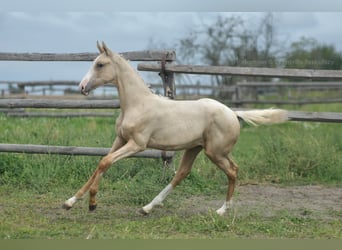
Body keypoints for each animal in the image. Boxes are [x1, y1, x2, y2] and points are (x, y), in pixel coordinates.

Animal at [62, 42, 288, 216]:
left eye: (100, 64)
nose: (82, 87)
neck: (137, 104)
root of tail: (233, 113)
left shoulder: (137, 145)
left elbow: (105, 162)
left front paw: (92, 203)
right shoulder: (120, 140)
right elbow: (100, 164)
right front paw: (70, 202)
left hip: (214, 152)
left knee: (232, 171)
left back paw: (222, 210)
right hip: (196, 148)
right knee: (183, 174)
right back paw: (147, 208)